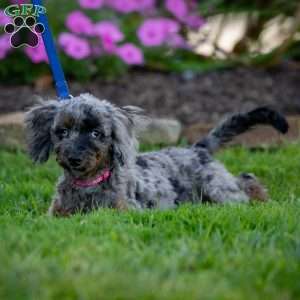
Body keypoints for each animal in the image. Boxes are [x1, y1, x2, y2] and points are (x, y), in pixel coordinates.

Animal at [25, 94, 288, 216]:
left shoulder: (127, 211)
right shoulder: (56, 214)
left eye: (96, 133)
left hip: (217, 188)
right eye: (63, 132)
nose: (74, 158)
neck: (89, 185)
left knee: (244, 183)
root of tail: (197, 148)